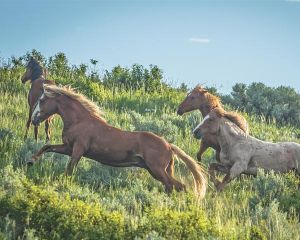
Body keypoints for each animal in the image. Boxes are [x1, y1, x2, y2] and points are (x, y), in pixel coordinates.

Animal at [28, 84, 206, 197]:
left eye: (42, 100)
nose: (34, 119)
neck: (79, 121)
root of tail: (169, 145)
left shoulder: (78, 149)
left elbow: (69, 169)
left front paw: (63, 184)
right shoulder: (68, 147)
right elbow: (47, 147)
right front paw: (31, 161)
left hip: (156, 169)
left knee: (177, 186)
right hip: (157, 170)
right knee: (173, 186)